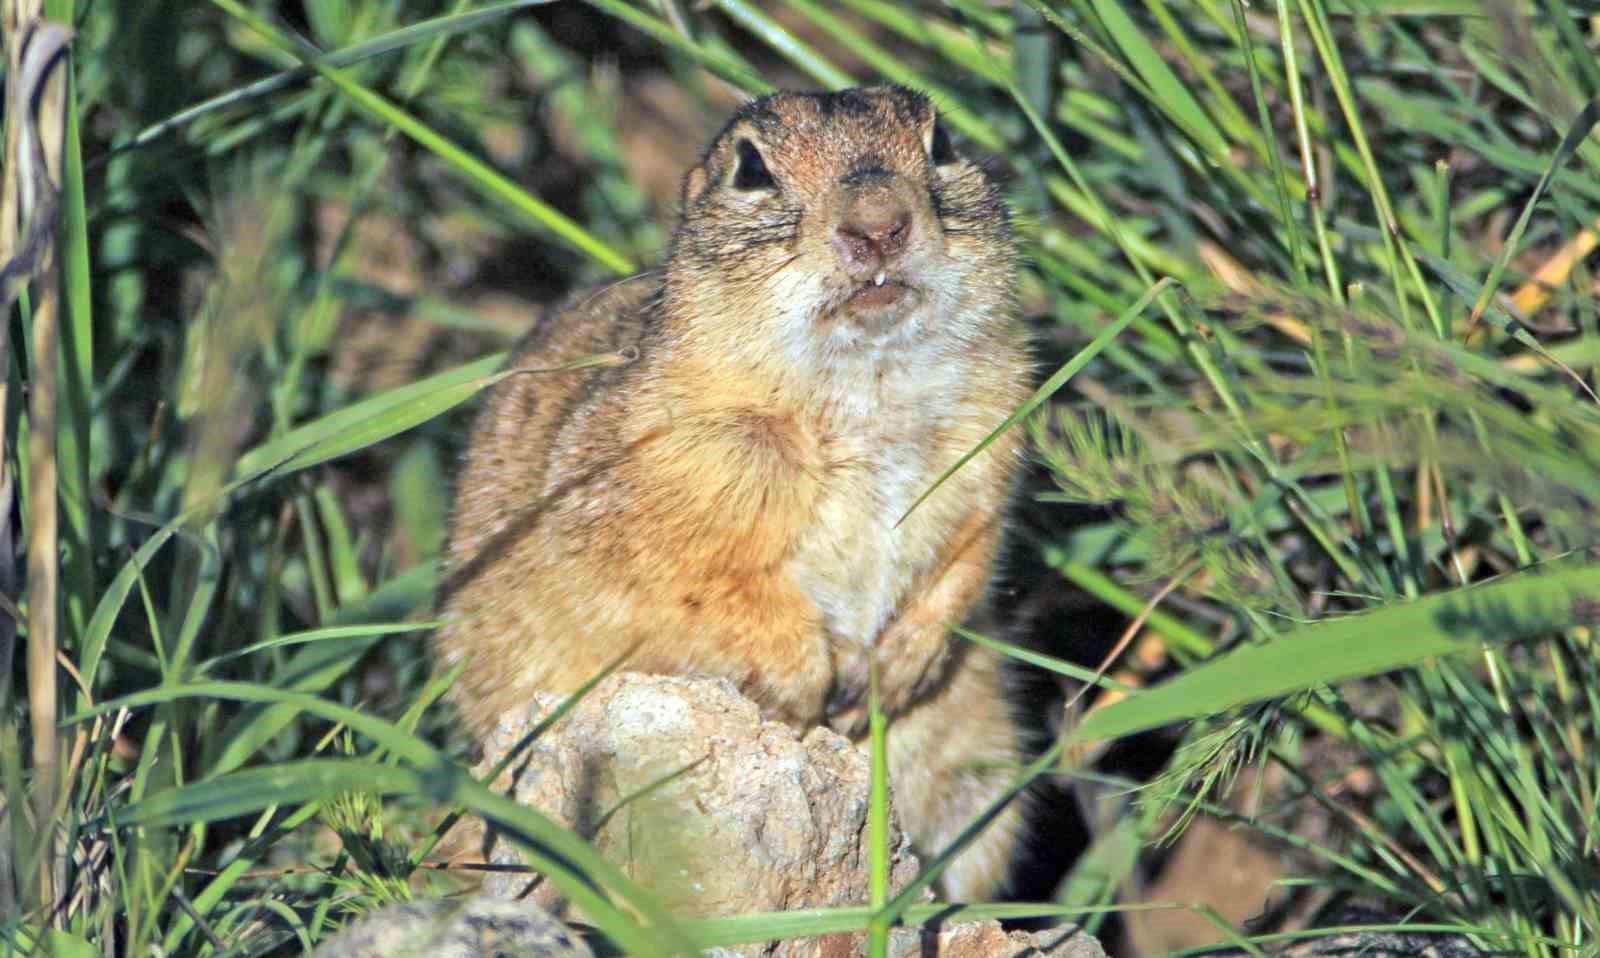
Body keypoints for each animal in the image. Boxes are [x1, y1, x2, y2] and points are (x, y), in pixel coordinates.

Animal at [438, 86, 1030, 902]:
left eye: (942, 145)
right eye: (751, 168)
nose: (879, 224)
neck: (867, 386)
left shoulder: (990, 450)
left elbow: (970, 560)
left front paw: (893, 672)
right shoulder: (669, 480)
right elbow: (710, 594)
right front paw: (812, 685)